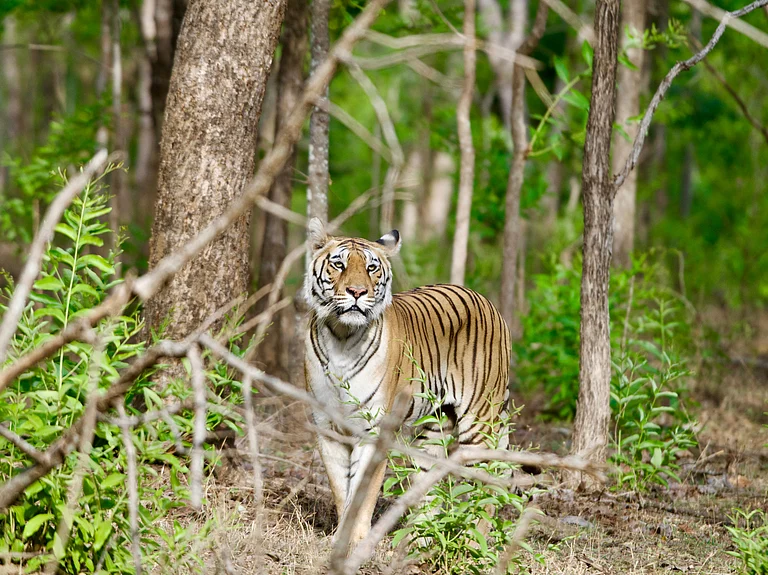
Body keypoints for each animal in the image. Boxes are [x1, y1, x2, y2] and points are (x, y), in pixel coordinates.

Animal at [303, 217, 511, 551]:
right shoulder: (327, 429)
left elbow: (362, 493)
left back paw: (474, 541)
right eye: (338, 264)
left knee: (487, 480)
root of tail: (486, 301)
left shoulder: (374, 430)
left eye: (371, 268)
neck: (342, 338)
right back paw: (419, 538)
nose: (357, 291)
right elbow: (340, 489)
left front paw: (354, 542)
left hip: (480, 421)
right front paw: (339, 540)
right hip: (435, 428)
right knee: (428, 484)